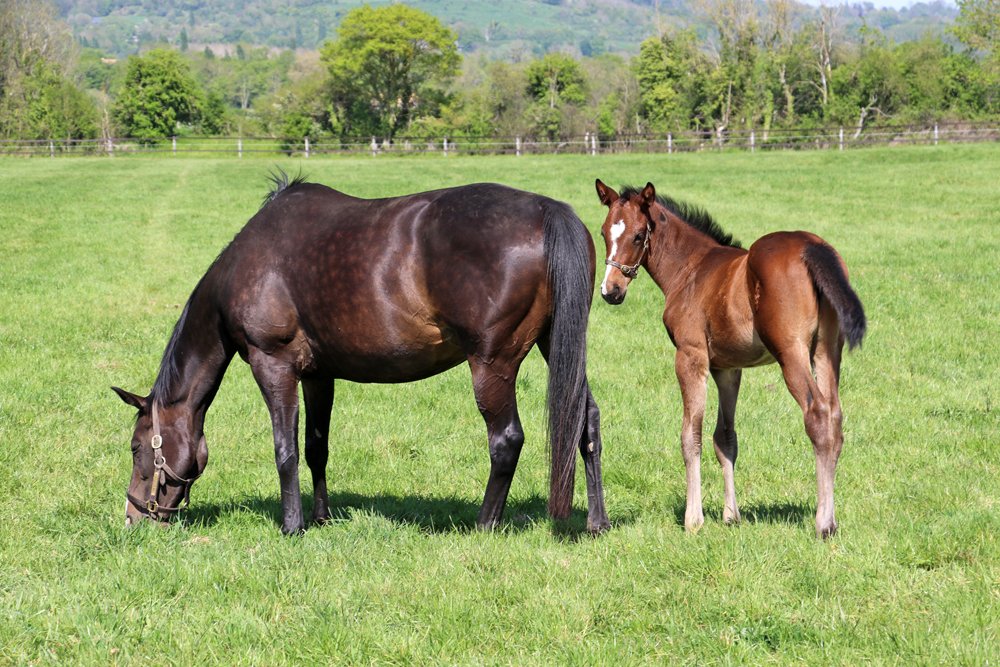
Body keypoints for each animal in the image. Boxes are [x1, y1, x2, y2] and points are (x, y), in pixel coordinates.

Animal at [112, 174, 611, 535]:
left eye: (137, 446)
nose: (134, 517)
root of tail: (546, 210)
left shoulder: (273, 365)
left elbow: (284, 450)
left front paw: (292, 527)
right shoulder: (318, 374)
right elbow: (316, 448)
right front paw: (320, 518)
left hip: (492, 364)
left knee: (506, 440)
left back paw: (485, 525)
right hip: (558, 346)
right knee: (585, 421)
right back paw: (597, 521)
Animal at [595, 180, 866, 538]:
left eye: (639, 235)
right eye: (603, 233)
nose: (611, 291)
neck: (690, 269)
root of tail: (812, 246)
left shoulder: (690, 357)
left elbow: (691, 434)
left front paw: (693, 519)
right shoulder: (728, 368)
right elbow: (725, 438)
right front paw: (730, 515)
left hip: (791, 352)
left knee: (818, 414)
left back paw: (823, 523)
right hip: (826, 351)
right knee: (834, 416)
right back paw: (830, 519)